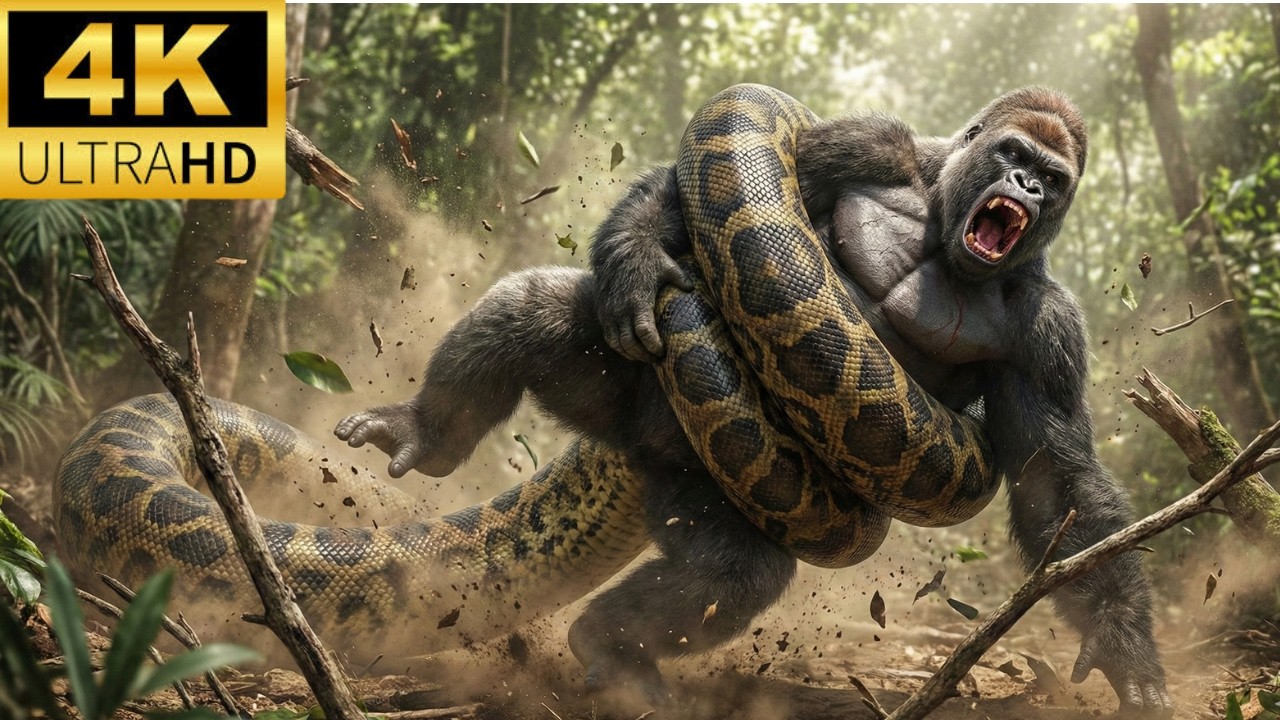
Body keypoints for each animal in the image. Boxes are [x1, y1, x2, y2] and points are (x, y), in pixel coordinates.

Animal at [335, 87, 1173, 715]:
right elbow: (679, 189)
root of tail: (641, 451)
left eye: (1053, 178)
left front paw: (1125, 647)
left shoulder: (1049, 333)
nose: (1027, 188)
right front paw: (639, 256)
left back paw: (612, 645)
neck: (942, 230)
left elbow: (1055, 481)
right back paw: (420, 428)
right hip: (621, 379)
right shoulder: (868, 141)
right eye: (1013, 155)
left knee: (731, 576)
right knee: (530, 307)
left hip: (714, 488)